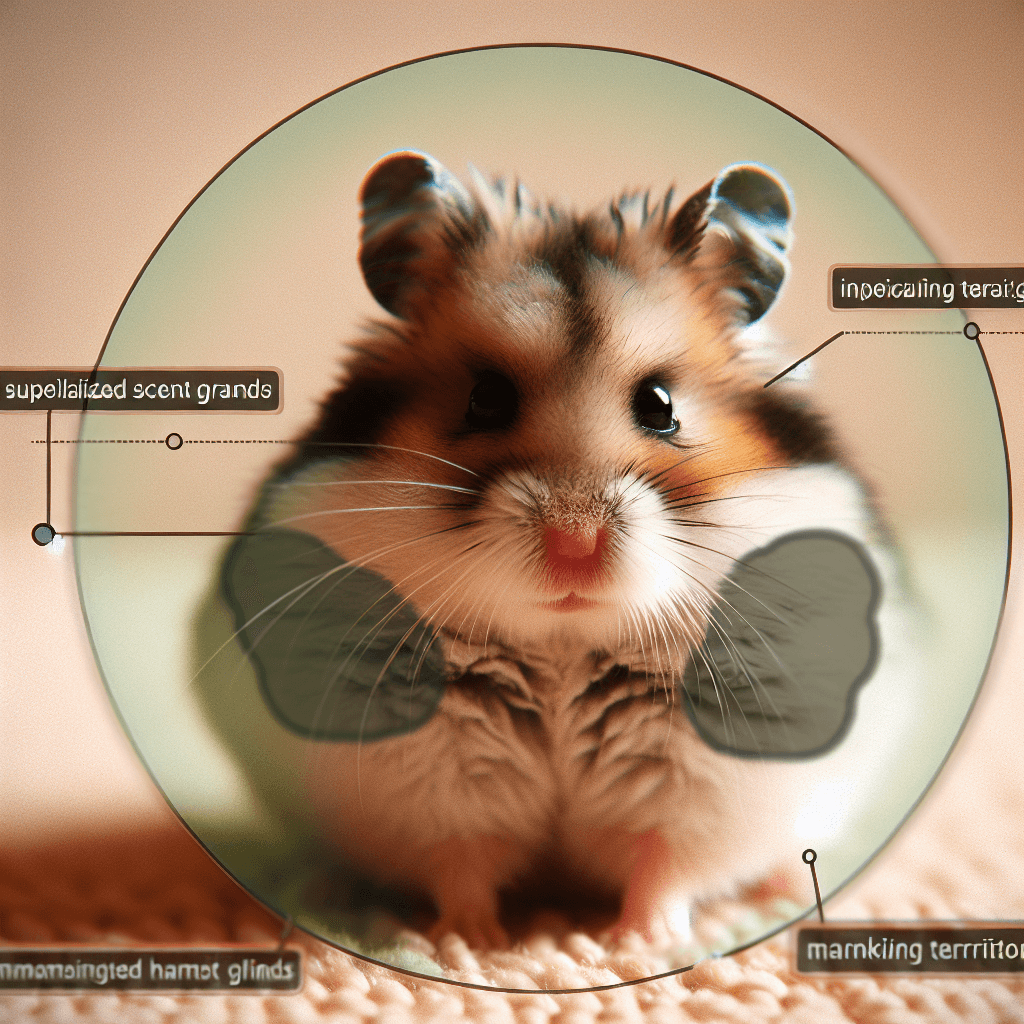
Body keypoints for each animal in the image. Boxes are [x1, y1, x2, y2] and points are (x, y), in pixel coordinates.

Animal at [226, 151, 899, 951]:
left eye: (661, 405)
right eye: (486, 397)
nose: (573, 545)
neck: (561, 646)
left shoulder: (702, 786)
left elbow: (661, 866)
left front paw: (637, 942)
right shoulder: (427, 783)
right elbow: (461, 864)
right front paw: (473, 944)